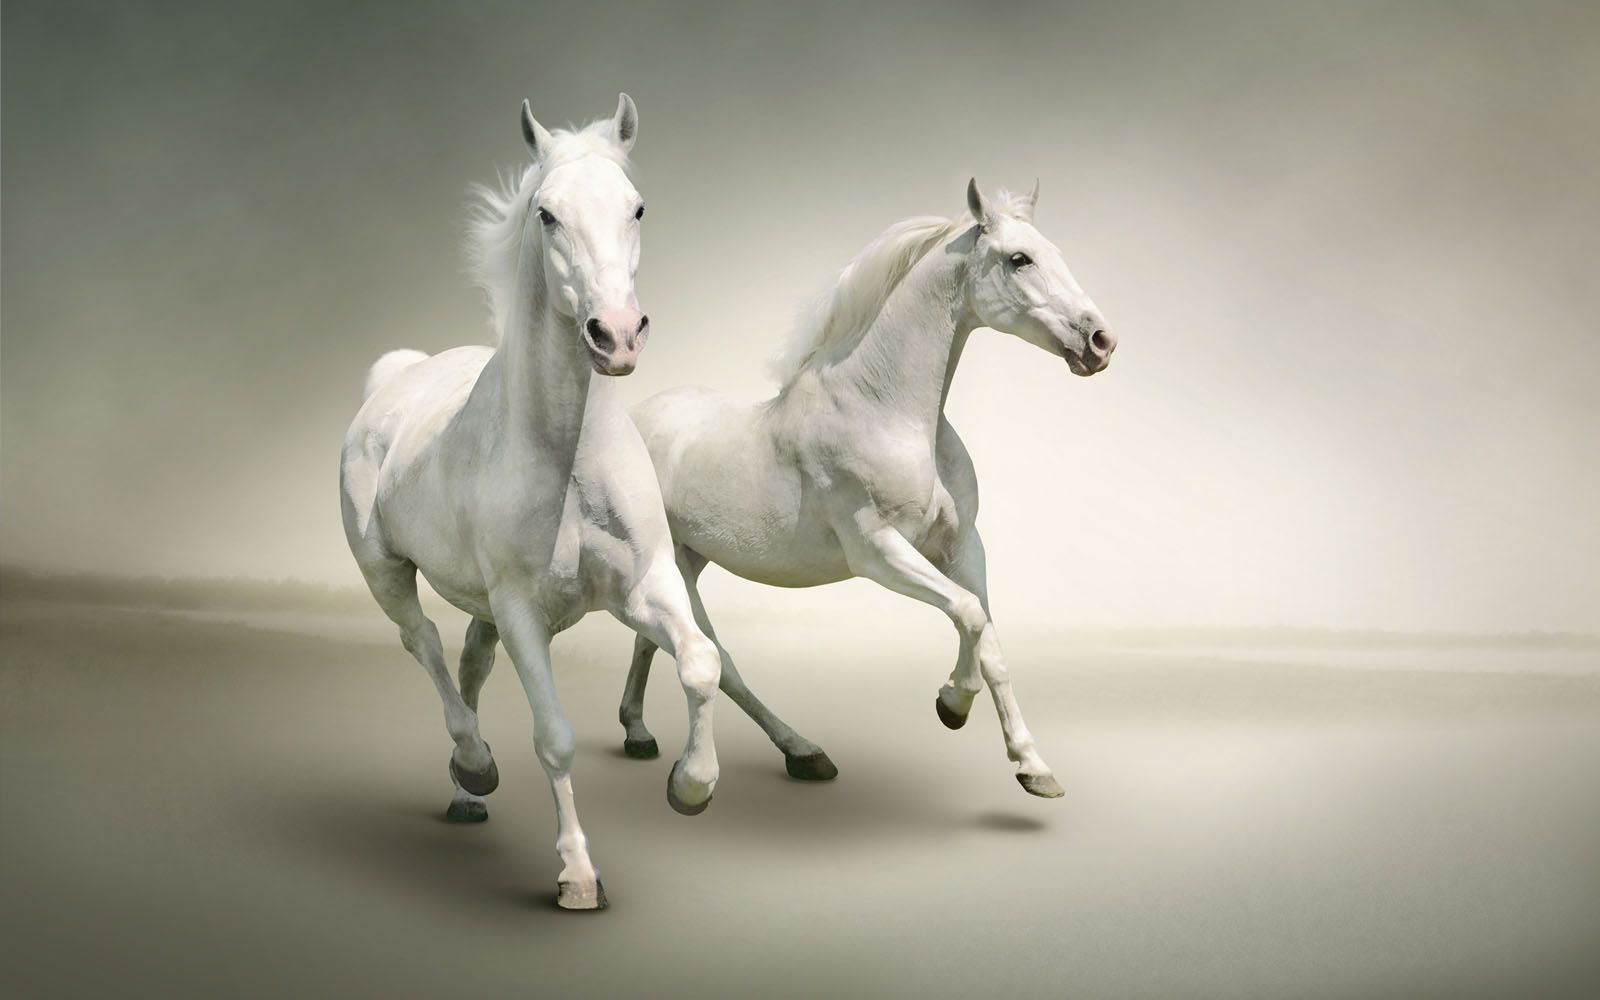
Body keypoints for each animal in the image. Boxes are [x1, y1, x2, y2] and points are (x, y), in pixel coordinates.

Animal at [340, 95, 721, 910]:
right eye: (547, 214)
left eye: (637, 207)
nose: (616, 335)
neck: (567, 457)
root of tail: (396, 378)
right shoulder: (523, 612)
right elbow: (555, 738)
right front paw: (577, 875)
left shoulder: (644, 586)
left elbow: (701, 662)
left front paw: (690, 785)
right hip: (386, 572)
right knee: (423, 643)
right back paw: (475, 764)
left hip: (481, 605)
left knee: (469, 662)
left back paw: (465, 791)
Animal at [616, 179, 1116, 798]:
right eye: (1019, 259)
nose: (1100, 341)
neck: (886, 411)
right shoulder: (877, 551)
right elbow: (969, 615)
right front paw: (952, 704)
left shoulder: (963, 546)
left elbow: (991, 640)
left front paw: (1033, 767)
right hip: (677, 567)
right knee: (716, 657)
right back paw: (795, 753)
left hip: (688, 558)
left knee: (653, 640)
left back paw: (640, 734)